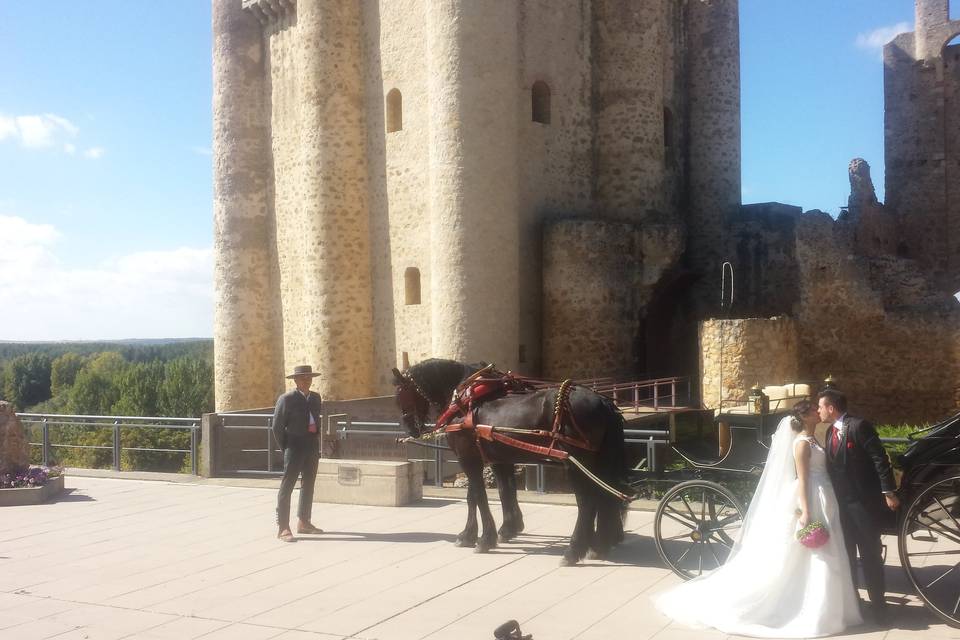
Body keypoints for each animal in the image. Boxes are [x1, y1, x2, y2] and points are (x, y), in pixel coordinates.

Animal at [392, 360, 632, 564]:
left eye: (401, 394)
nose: (410, 428)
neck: (465, 401)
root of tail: (603, 402)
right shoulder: (495, 458)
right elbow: (498, 492)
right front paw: (499, 529)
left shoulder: (468, 458)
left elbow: (479, 496)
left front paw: (484, 538)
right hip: (597, 463)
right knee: (605, 497)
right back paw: (600, 544)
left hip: (577, 463)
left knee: (587, 502)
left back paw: (574, 550)